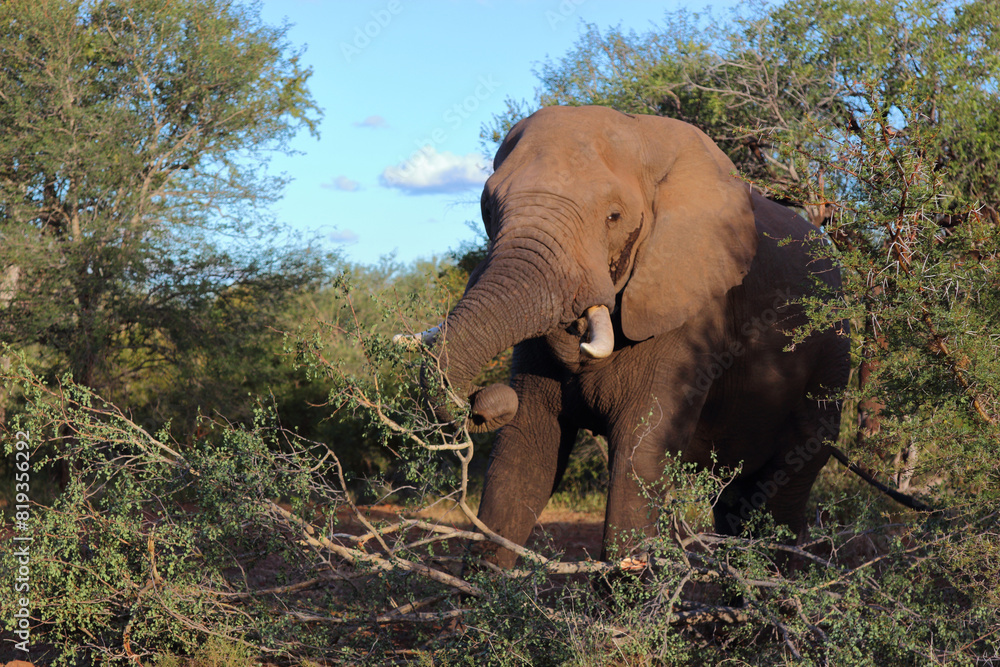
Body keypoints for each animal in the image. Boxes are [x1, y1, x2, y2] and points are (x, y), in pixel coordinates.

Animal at [401, 105, 850, 568]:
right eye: (487, 209)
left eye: (613, 217)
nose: (484, 400)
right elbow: (524, 451)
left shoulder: (692, 309)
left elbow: (641, 454)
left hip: (831, 360)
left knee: (782, 492)